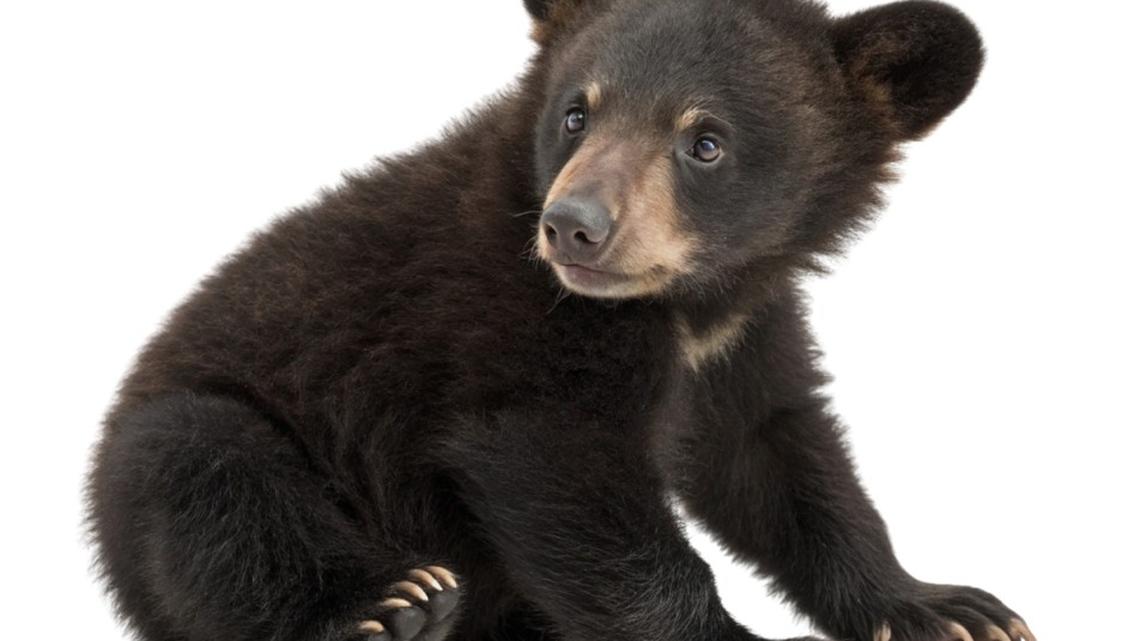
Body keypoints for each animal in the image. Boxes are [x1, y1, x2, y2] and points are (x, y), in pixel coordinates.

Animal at [86, 1, 1034, 641]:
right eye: (578, 110)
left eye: (706, 140)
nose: (573, 225)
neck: (681, 304)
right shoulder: (500, 310)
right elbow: (550, 459)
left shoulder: (742, 339)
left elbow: (780, 461)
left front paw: (945, 605)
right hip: (177, 456)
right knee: (209, 477)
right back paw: (391, 604)